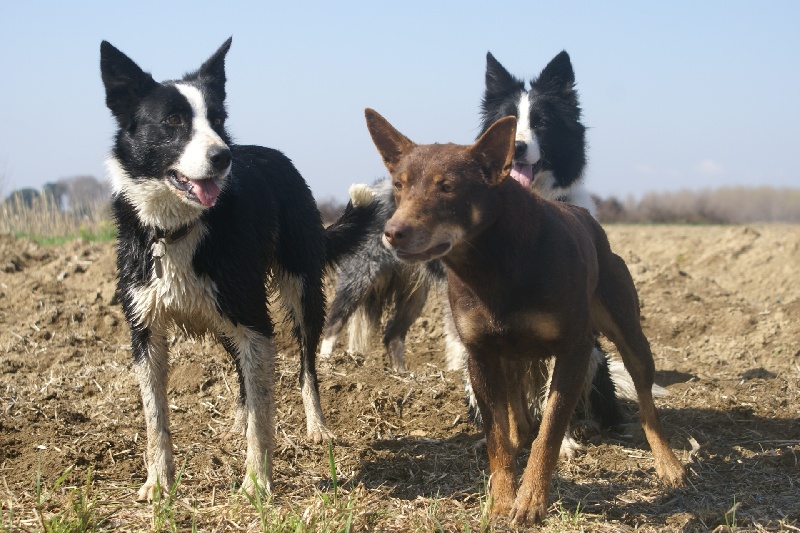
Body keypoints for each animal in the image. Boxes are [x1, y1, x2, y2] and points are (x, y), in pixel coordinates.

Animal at [101, 37, 376, 498]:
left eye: (217, 119)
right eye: (173, 121)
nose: (223, 156)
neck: (177, 230)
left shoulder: (254, 321)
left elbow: (263, 415)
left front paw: (257, 482)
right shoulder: (145, 329)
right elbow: (156, 418)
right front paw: (158, 484)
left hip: (299, 293)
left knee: (306, 367)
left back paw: (316, 427)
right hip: (226, 315)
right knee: (245, 376)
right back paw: (237, 419)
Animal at [318, 51, 644, 454]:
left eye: (542, 122)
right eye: (510, 120)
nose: (517, 147)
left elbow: (555, 387)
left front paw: (563, 442)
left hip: (416, 290)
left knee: (393, 334)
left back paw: (404, 378)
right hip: (363, 275)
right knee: (333, 323)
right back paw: (331, 369)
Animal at [366, 108, 684, 524]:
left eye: (447, 187)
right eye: (399, 185)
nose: (392, 233)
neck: (493, 263)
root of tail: (585, 216)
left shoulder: (574, 351)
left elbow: (549, 433)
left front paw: (530, 501)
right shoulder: (480, 354)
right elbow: (498, 438)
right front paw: (501, 500)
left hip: (628, 332)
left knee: (646, 400)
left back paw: (669, 465)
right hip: (510, 355)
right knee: (515, 411)